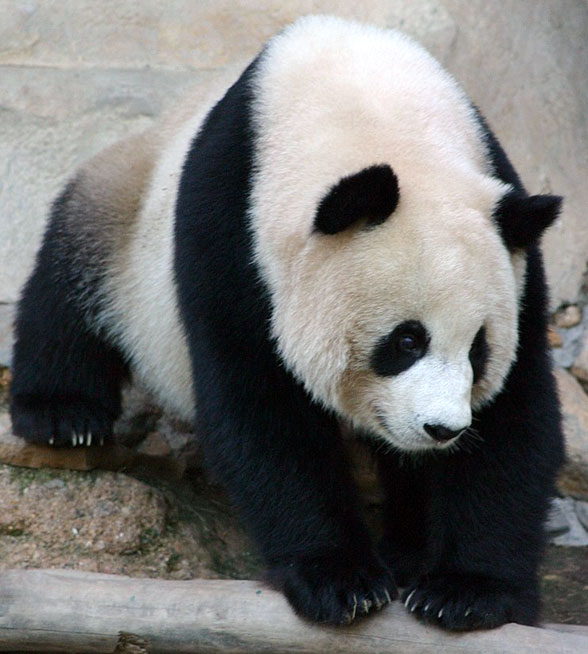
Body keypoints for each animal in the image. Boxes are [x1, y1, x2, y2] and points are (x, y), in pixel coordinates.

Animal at [10, 15, 564, 632]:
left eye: (478, 350)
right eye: (406, 340)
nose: (442, 429)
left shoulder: (511, 245)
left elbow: (514, 418)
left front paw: (466, 591)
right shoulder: (231, 228)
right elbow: (261, 409)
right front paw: (341, 582)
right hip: (128, 210)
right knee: (71, 276)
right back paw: (63, 414)